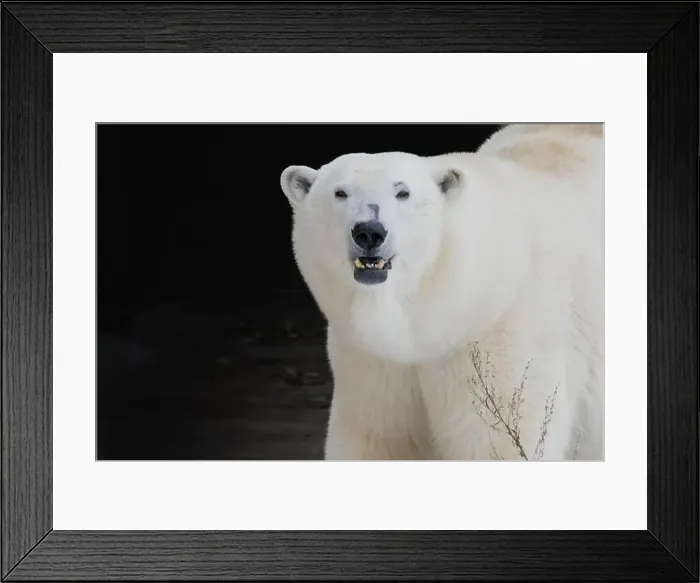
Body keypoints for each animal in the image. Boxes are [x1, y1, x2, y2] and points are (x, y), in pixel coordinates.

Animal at [280, 123, 604, 461]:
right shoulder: (371, 360)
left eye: (403, 192)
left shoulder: (504, 336)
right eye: (340, 192)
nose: (369, 232)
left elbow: (498, 441)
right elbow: (376, 438)